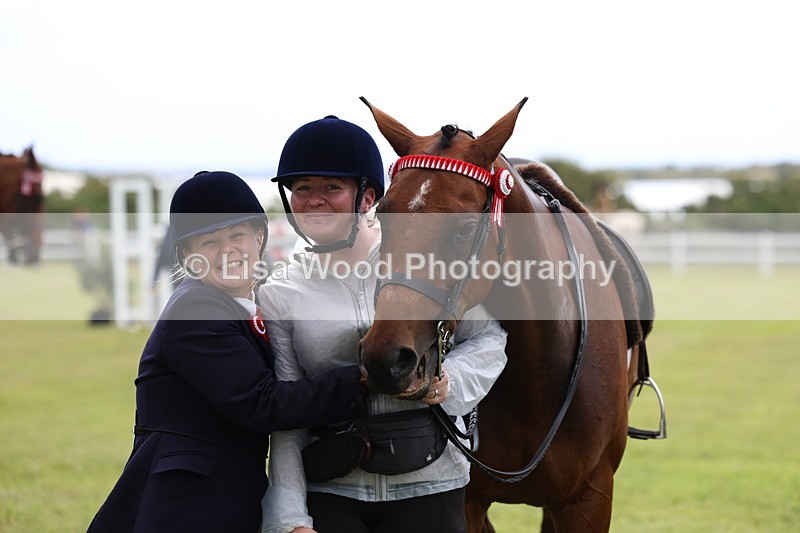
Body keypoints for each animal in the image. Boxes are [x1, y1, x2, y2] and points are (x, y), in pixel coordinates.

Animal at [357, 98, 660, 532]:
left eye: (466, 228)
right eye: (382, 215)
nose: (386, 358)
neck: (539, 368)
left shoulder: (589, 497)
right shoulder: (466, 502)